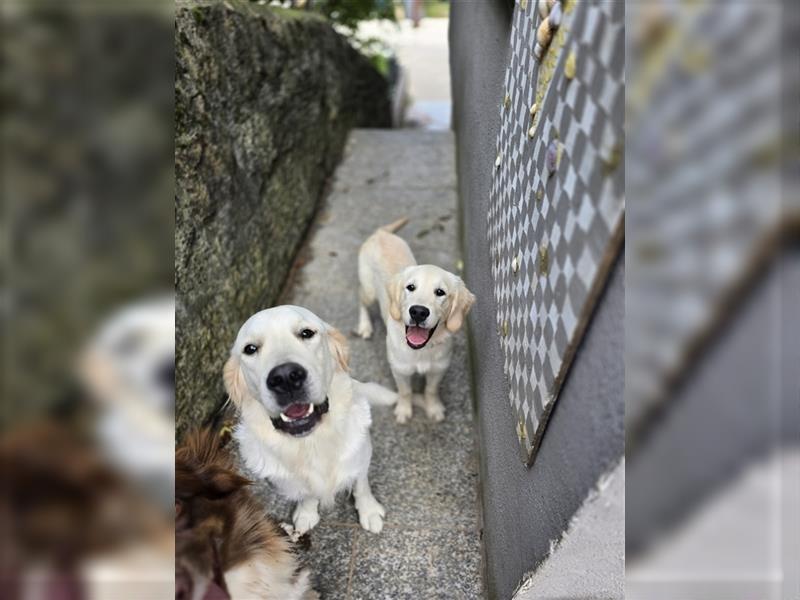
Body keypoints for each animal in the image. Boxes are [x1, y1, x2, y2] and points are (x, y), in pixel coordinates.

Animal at [222, 304, 396, 536]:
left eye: (306, 333)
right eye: (250, 348)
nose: (285, 377)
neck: (311, 443)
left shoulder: (360, 455)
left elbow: (361, 485)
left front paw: (369, 511)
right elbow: (307, 493)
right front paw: (306, 513)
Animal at [356, 219, 476, 422]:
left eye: (440, 292)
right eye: (410, 287)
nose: (418, 312)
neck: (421, 350)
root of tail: (381, 233)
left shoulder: (438, 369)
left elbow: (431, 390)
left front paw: (433, 408)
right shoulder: (400, 370)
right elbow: (405, 392)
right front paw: (404, 410)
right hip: (369, 291)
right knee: (361, 301)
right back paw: (365, 326)